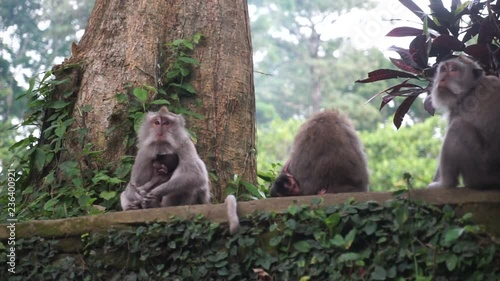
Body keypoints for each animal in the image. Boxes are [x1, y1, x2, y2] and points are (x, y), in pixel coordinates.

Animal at [428, 55, 500, 189]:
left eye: (453, 70)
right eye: (443, 70)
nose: (442, 79)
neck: (471, 89)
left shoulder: (459, 108)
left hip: (479, 171)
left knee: (457, 126)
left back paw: (445, 184)